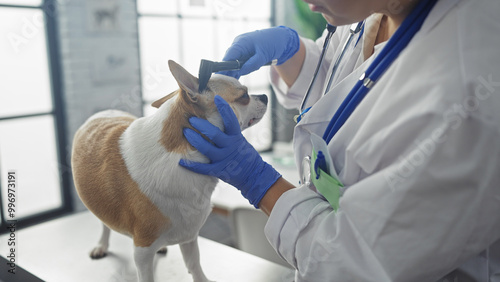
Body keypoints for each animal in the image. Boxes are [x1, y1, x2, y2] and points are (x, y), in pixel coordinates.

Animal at [71, 60, 270, 282]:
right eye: (244, 96)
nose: (264, 96)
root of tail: (106, 112)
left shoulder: (189, 236)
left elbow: (194, 264)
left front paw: (201, 279)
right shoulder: (142, 251)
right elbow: (147, 277)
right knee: (105, 224)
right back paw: (101, 245)